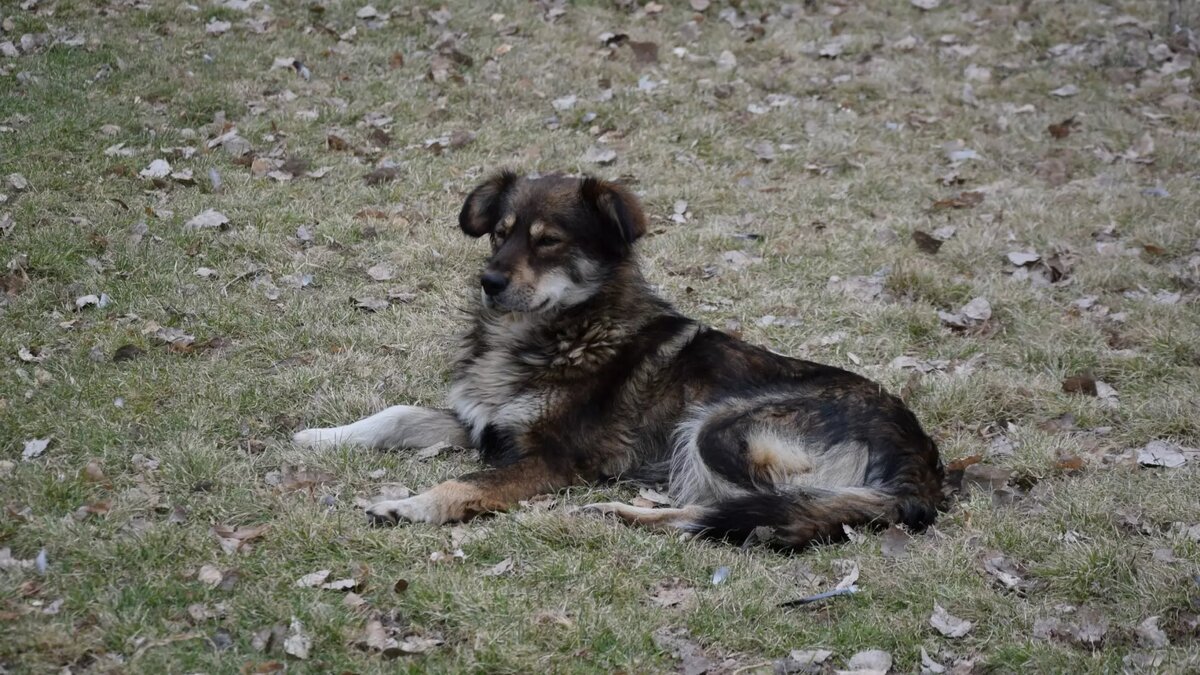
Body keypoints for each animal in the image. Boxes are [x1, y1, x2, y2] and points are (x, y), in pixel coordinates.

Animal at [292, 169, 945, 547]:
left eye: (549, 241)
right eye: (500, 233)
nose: (489, 282)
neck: (562, 330)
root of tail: (922, 462)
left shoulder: (550, 460)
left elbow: (463, 482)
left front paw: (409, 505)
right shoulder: (485, 424)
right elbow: (396, 415)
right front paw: (322, 436)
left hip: (720, 425)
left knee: (757, 509)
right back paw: (619, 513)